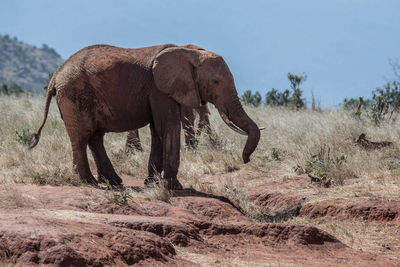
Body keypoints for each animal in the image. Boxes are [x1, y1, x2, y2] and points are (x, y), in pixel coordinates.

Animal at [32, 44, 262, 189]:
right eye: (215, 82)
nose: (246, 160)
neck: (189, 52)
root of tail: (55, 76)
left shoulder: (162, 91)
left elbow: (157, 130)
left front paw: (152, 183)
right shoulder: (159, 89)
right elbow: (168, 126)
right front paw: (174, 187)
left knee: (95, 137)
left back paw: (113, 181)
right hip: (74, 94)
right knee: (82, 136)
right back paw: (89, 182)